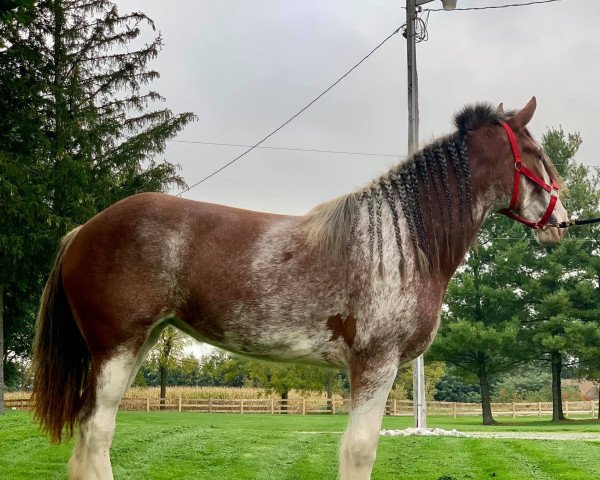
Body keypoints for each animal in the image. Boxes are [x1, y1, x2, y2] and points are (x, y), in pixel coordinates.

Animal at [31, 95, 568, 478]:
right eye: (538, 154)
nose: (561, 222)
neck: (400, 239)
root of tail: (85, 229)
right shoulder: (375, 364)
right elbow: (359, 452)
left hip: (137, 345)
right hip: (117, 349)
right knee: (97, 435)